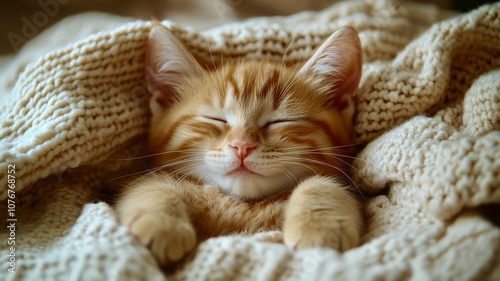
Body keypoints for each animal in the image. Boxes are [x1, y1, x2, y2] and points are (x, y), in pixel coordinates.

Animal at [116, 24, 364, 264]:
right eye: (216, 119)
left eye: (279, 121)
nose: (242, 146)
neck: (243, 206)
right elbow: (150, 183)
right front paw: (162, 223)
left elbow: (322, 183)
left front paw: (321, 225)